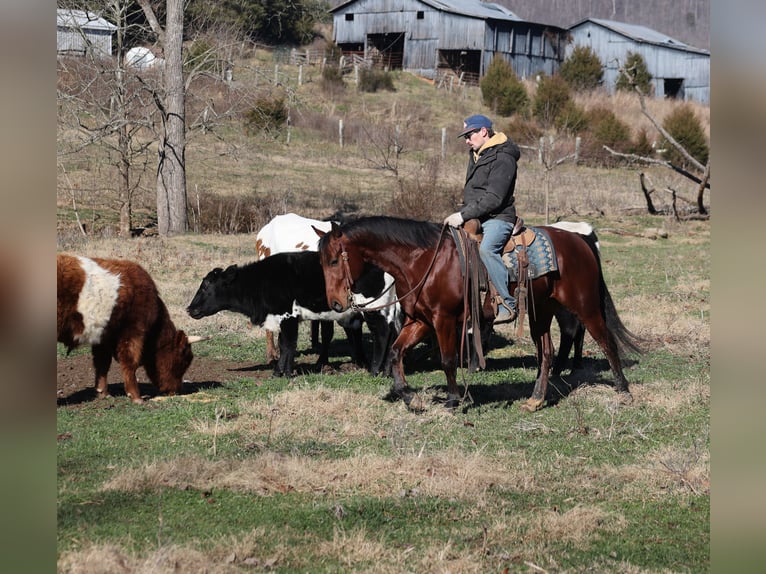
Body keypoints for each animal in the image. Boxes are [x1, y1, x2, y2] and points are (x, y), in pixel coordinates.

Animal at [316, 216, 641, 412]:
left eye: (334, 260)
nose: (336, 304)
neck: (424, 261)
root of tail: (580, 242)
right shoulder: (420, 321)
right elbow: (397, 352)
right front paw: (409, 396)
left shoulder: (444, 320)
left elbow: (448, 360)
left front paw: (452, 400)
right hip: (542, 312)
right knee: (547, 352)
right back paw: (536, 399)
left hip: (585, 305)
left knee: (605, 340)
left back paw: (624, 390)